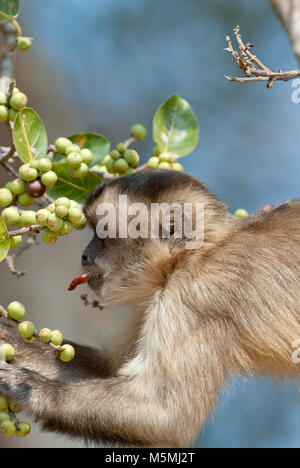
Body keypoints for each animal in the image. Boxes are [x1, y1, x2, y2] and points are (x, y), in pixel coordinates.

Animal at [0, 170, 300, 448]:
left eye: (103, 236)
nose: (85, 256)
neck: (196, 253)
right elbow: (109, 367)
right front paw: (8, 336)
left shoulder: (196, 293)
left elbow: (165, 417)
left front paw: (28, 387)